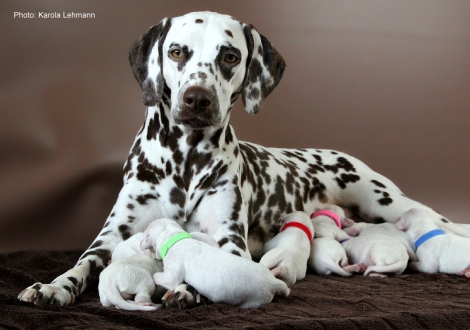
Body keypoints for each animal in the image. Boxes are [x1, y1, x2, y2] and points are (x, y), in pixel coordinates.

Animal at [140, 218, 290, 308]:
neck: (176, 239)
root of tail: (273, 282)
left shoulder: (172, 272)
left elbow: (165, 279)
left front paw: (154, 277)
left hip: (253, 301)